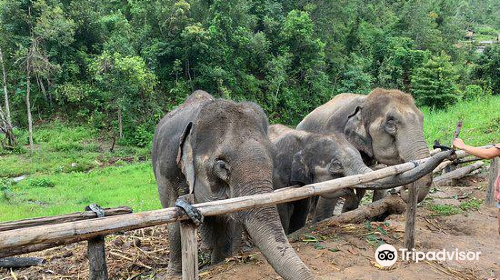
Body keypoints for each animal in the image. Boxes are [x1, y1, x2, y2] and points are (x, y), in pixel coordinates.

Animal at [152, 91, 314, 278]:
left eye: (274, 156)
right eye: (221, 166)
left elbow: (232, 218)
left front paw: (224, 260)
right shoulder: (167, 169)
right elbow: (172, 211)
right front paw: (174, 276)